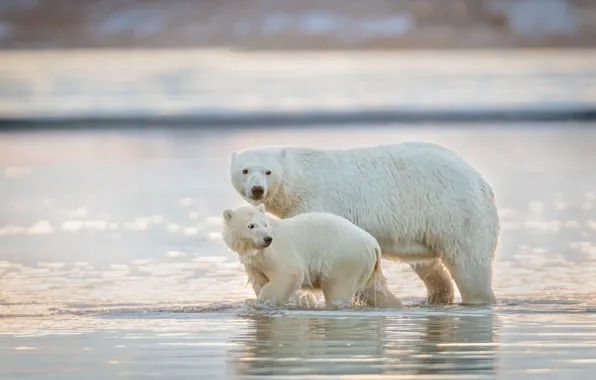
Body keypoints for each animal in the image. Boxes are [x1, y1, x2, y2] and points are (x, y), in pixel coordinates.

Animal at [221, 205, 402, 308]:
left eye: (265, 224)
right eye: (251, 226)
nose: (267, 239)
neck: (257, 251)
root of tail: (374, 244)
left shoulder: (278, 252)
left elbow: (288, 274)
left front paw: (263, 303)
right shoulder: (254, 262)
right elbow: (259, 281)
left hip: (344, 260)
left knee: (338, 289)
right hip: (365, 265)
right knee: (374, 291)